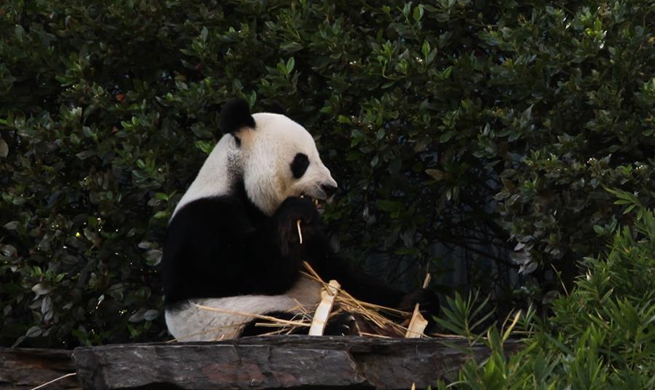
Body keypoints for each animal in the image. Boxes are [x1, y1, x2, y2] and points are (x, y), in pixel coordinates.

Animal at [162, 99, 436, 340]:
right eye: (302, 161)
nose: (330, 187)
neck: (236, 182)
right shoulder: (202, 222)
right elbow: (249, 271)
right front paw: (292, 215)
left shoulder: (314, 242)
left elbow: (340, 272)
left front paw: (414, 301)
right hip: (231, 320)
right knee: (270, 325)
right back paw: (342, 325)